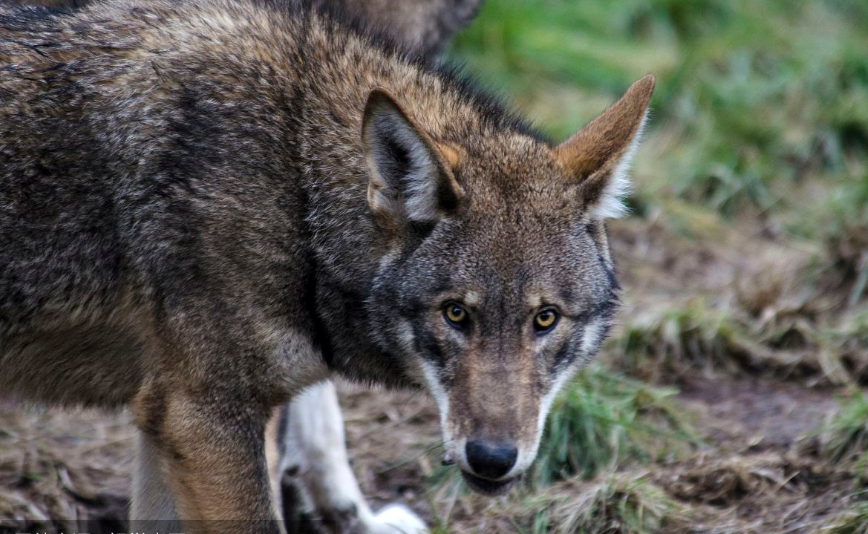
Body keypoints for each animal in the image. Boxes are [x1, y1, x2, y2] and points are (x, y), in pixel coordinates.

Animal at [0, 0, 652, 532]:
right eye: (455, 314)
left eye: (545, 319)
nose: (492, 459)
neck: (299, 192)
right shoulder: (205, 421)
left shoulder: (169, 420)